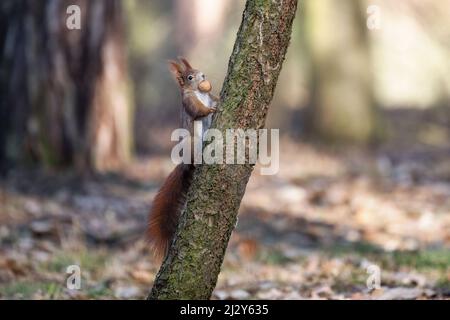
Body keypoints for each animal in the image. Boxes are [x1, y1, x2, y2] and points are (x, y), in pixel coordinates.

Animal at [148, 57, 218, 258]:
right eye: (189, 77)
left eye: (199, 70)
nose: (204, 76)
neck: (199, 92)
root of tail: (184, 164)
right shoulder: (189, 102)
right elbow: (198, 110)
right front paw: (209, 110)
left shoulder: (208, 95)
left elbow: (214, 97)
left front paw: (217, 101)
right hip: (191, 144)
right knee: (194, 161)